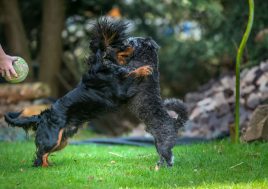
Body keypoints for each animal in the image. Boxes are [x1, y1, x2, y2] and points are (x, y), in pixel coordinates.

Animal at [4, 18, 188, 168]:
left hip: (62, 140)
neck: (102, 64)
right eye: (123, 44)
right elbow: (132, 73)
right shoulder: (121, 89)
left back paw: (49, 166)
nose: (132, 43)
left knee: (43, 154)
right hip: (53, 138)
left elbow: (129, 71)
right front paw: (144, 68)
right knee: (39, 154)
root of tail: (42, 116)